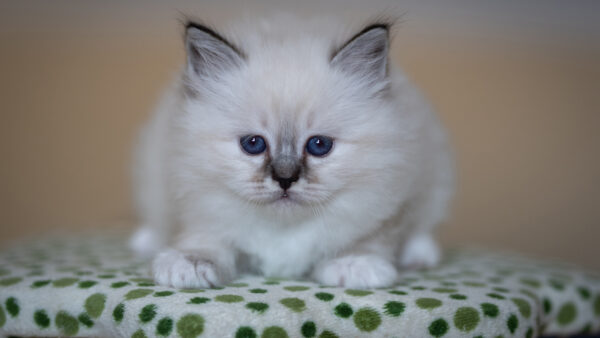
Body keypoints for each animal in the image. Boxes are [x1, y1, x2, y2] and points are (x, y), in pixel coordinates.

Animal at [127, 15, 454, 290]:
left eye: (319, 145)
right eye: (253, 144)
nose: (285, 179)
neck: (284, 231)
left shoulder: (394, 195)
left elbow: (372, 237)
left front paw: (354, 264)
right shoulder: (195, 198)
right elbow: (204, 239)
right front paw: (189, 263)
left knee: (423, 227)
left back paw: (420, 255)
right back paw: (145, 242)